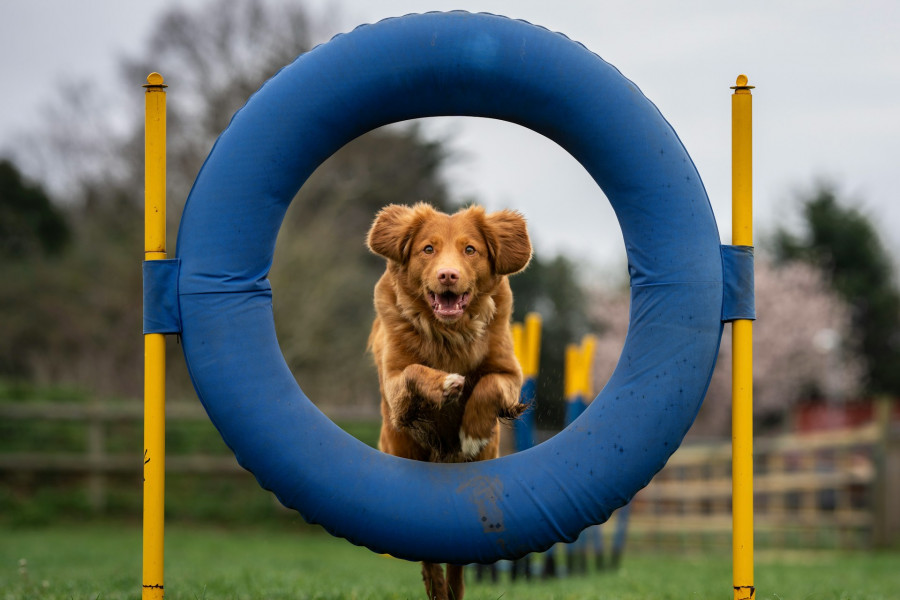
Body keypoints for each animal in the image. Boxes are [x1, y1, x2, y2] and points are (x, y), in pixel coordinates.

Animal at [366, 203, 532, 600]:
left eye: (470, 250)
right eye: (428, 249)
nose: (448, 275)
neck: (448, 333)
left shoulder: (509, 372)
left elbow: (488, 385)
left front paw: (471, 432)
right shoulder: (395, 385)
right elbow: (414, 370)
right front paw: (445, 384)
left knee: (456, 559)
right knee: (428, 553)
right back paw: (438, 589)